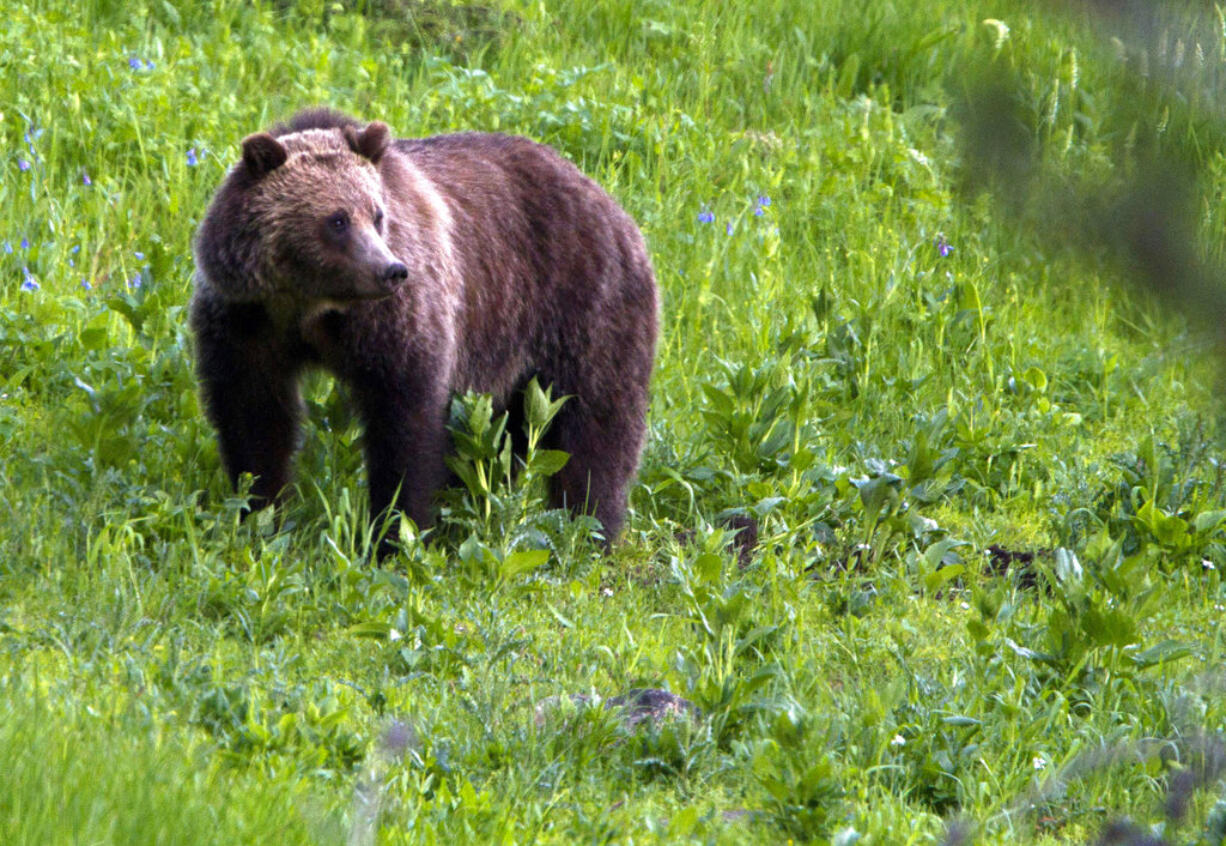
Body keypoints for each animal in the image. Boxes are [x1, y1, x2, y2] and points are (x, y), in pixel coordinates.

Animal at [190, 108, 657, 549]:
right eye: (337, 220)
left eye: (377, 215)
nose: (391, 270)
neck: (310, 306)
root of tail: (608, 200)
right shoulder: (247, 322)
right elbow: (254, 417)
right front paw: (260, 514)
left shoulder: (394, 323)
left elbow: (405, 424)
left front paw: (395, 532)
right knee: (504, 437)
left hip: (583, 307)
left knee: (596, 425)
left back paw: (590, 528)